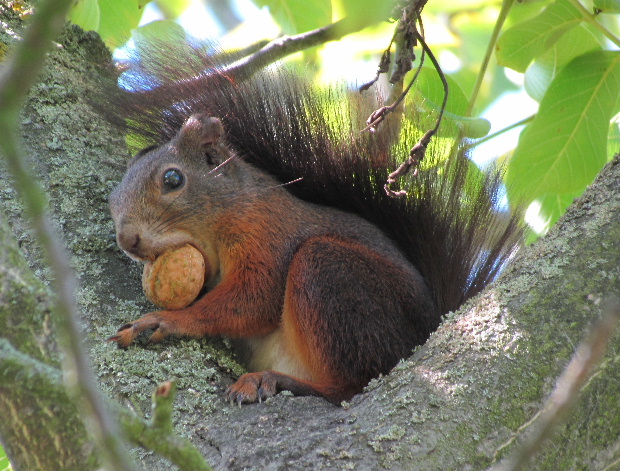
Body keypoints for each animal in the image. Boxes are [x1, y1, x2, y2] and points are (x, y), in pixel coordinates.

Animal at [104, 40, 520, 406]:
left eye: (173, 179)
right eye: (112, 198)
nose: (128, 240)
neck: (226, 216)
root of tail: (428, 330)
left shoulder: (267, 235)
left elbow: (252, 301)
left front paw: (165, 320)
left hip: (330, 273)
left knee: (351, 387)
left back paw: (274, 381)